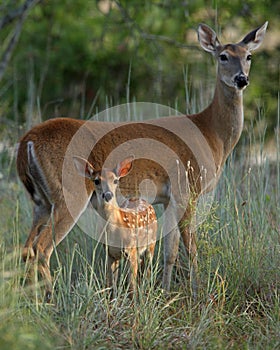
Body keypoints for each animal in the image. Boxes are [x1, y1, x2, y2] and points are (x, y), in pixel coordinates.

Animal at [72, 154, 158, 294]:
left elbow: (131, 286)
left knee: (148, 269)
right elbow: (111, 284)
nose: (108, 195)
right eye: (96, 181)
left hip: (151, 243)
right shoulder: (109, 253)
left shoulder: (131, 250)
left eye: (116, 180)